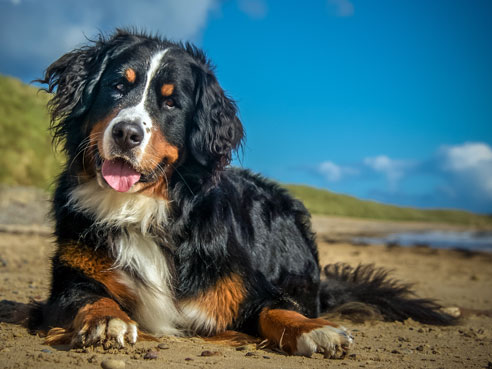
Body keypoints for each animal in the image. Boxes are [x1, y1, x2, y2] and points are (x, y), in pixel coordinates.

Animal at [27, 30, 454, 358]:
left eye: (171, 102)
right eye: (117, 87)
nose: (126, 133)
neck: (143, 210)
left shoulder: (247, 289)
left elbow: (276, 310)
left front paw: (316, 330)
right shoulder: (69, 280)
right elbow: (88, 297)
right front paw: (106, 319)